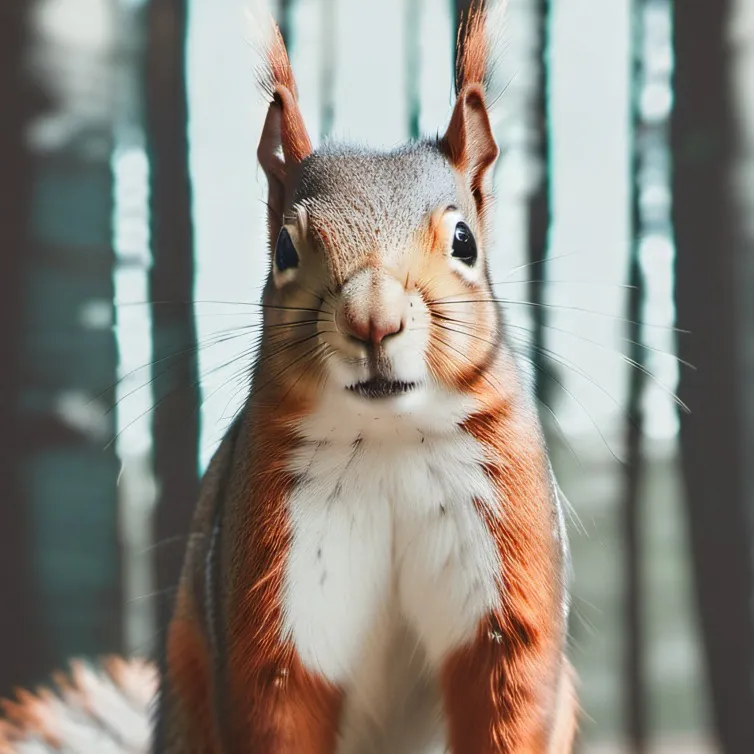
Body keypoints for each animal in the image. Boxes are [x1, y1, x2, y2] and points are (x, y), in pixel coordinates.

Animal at [0, 3, 578, 752]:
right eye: (283, 249)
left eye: (465, 242)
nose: (373, 320)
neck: (387, 441)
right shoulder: (272, 598)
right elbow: (278, 701)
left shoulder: (507, 571)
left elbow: (508, 699)